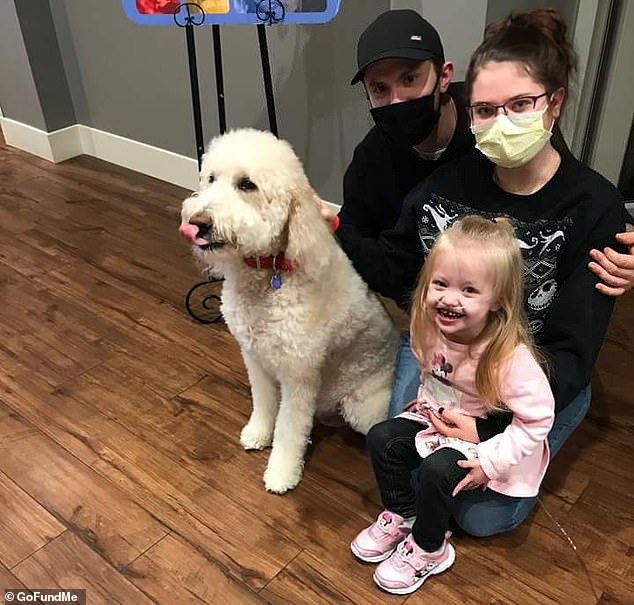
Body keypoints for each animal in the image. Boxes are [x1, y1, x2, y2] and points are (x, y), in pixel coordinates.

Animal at [179, 129, 396, 490]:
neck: (267, 276)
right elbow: (264, 404)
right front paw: (257, 433)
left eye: (247, 185)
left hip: (363, 408)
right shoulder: (254, 357)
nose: (198, 223)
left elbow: (290, 430)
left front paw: (281, 473)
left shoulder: (300, 376)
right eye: (210, 178)